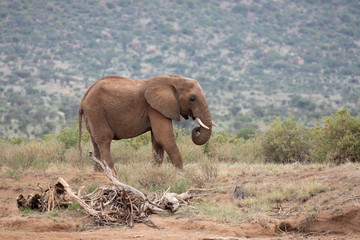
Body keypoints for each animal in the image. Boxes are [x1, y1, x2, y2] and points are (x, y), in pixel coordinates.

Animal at [77, 74, 215, 175]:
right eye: (192, 98)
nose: (196, 129)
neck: (173, 79)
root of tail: (83, 98)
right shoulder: (154, 107)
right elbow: (164, 137)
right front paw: (181, 174)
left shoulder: (156, 108)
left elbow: (157, 140)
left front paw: (155, 171)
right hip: (97, 111)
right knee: (104, 139)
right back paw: (113, 173)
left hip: (92, 115)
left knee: (95, 141)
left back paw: (99, 172)